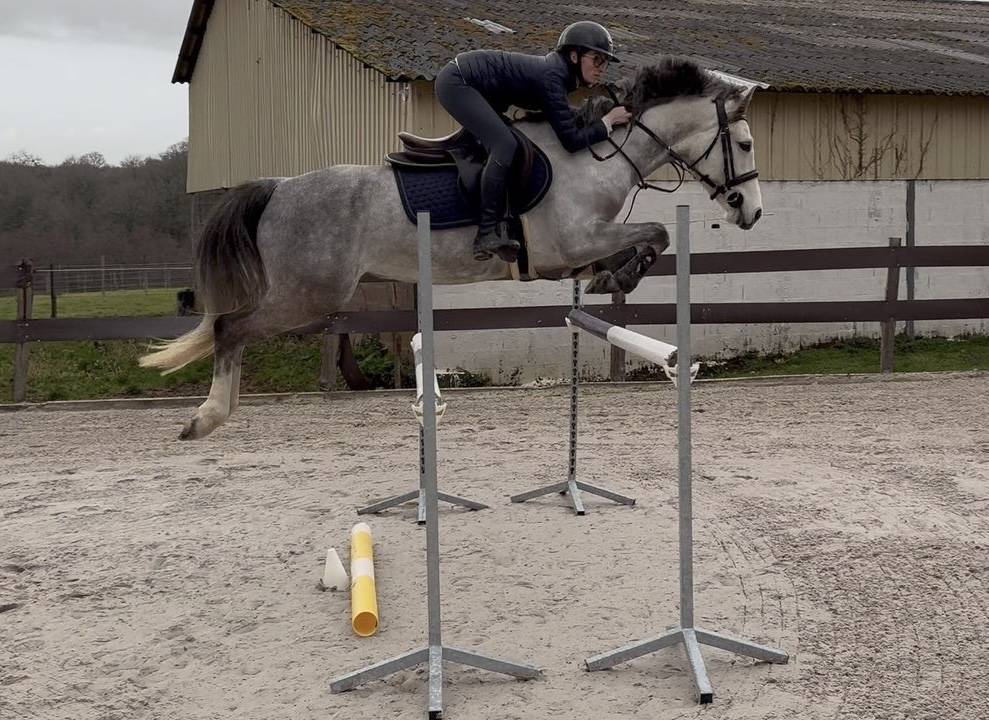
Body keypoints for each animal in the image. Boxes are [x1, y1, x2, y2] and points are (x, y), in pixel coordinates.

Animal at [140, 57, 764, 440]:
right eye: (744, 143)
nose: (752, 213)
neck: (592, 159)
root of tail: (278, 187)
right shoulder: (568, 245)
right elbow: (656, 232)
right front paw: (623, 275)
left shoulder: (577, 250)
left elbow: (643, 244)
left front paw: (616, 277)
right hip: (308, 295)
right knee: (230, 328)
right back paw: (208, 416)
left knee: (232, 328)